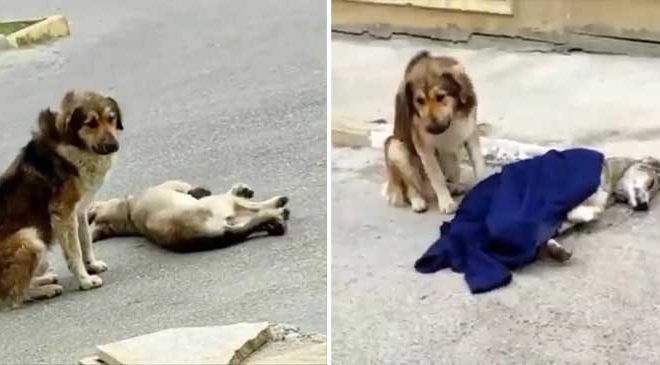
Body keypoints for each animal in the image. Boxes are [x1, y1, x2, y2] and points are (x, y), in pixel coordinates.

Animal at [0, 90, 122, 308]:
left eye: (111, 118)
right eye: (91, 123)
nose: (114, 145)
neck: (73, 145)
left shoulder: (79, 210)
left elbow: (85, 240)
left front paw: (92, 265)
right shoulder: (64, 212)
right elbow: (74, 250)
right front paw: (85, 280)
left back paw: (43, 279)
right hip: (30, 238)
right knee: (14, 295)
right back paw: (45, 289)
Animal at [86, 180, 290, 253]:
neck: (127, 212)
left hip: (234, 221)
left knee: (255, 218)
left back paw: (273, 222)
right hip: (221, 204)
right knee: (258, 208)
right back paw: (278, 209)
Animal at [382, 48, 484, 213]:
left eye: (441, 96)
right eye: (419, 101)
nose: (430, 128)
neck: (453, 118)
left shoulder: (469, 132)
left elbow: (478, 164)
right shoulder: (424, 147)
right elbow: (437, 177)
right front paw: (446, 202)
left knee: (454, 170)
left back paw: (454, 186)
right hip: (395, 147)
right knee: (410, 185)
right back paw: (417, 201)